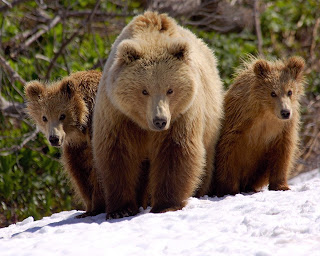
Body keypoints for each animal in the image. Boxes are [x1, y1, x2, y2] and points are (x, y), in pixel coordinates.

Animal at [25, 70, 105, 218]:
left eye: (62, 115)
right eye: (44, 117)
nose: (54, 138)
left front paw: (97, 207)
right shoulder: (76, 147)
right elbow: (79, 172)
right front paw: (88, 209)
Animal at [92, 10, 222, 218]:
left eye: (170, 90)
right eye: (144, 91)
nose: (159, 120)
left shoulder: (182, 115)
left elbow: (176, 151)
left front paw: (166, 204)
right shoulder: (118, 114)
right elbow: (118, 154)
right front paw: (121, 209)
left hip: (210, 120)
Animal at [212, 56, 304, 196]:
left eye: (290, 91)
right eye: (273, 93)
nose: (285, 112)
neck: (266, 114)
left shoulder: (283, 129)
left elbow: (283, 153)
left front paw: (281, 186)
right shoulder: (238, 124)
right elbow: (228, 153)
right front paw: (229, 189)